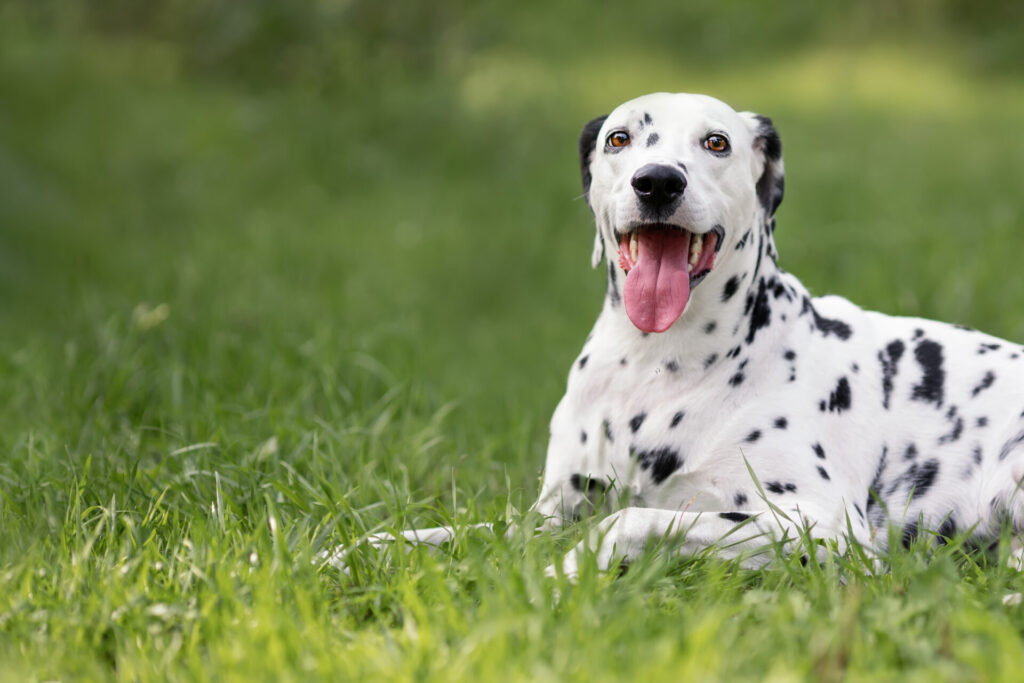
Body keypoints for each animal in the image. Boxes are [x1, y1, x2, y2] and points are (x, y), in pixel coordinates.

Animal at [329, 93, 1024, 581]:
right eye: (620, 138)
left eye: (716, 141)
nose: (658, 180)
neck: (655, 367)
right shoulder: (550, 512)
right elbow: (443, 533)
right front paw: (348, 554)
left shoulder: (817, 526)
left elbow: (627, 520)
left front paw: (562, 574)